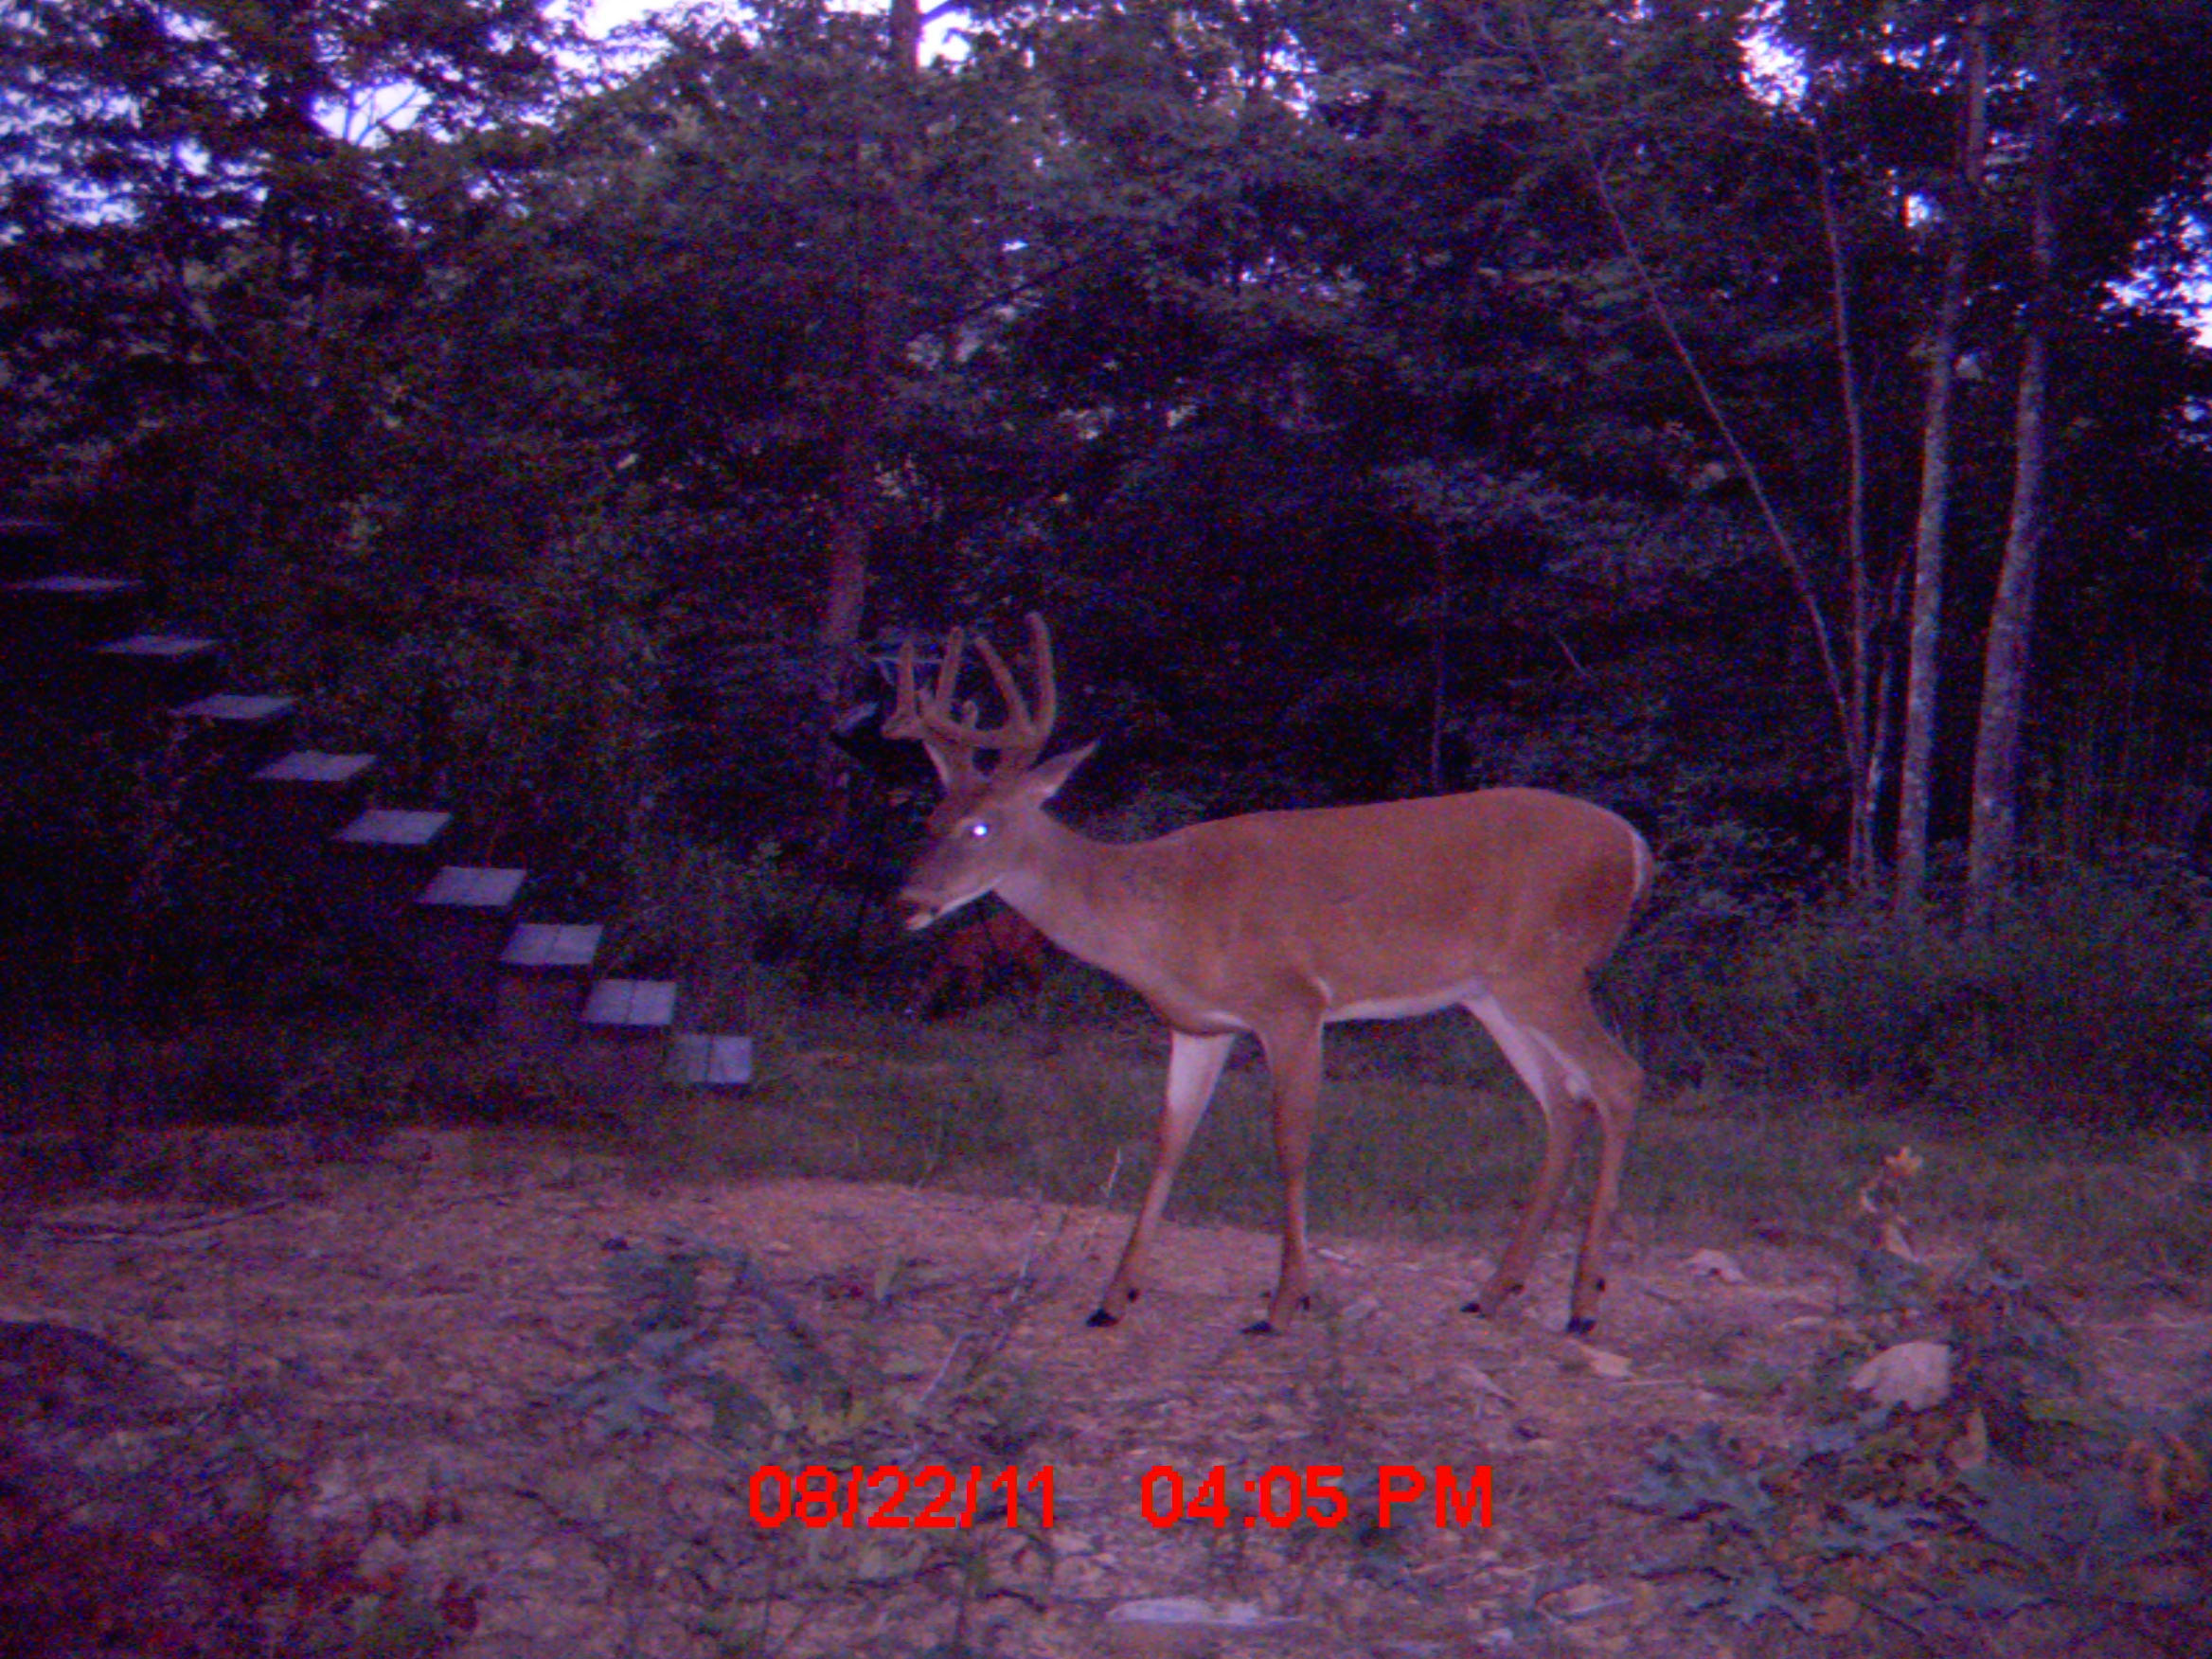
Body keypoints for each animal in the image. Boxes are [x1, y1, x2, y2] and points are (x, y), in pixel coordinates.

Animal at [884, 614, 1651, 1336]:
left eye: (982, 827)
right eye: (932, 816)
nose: (908, 902)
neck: (1163, 917)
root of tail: (1636, 847)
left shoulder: (1292, 1003)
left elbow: (1289, 1138)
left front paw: (1285, 1302)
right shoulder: (1197, 1026)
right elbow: (1169, 1138)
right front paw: (1114, 1298)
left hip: (1546, 969)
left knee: (1618, 1080)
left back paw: (1584, 1300)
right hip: (1494, 994)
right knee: (1563, 1103)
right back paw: (1495, 1291)